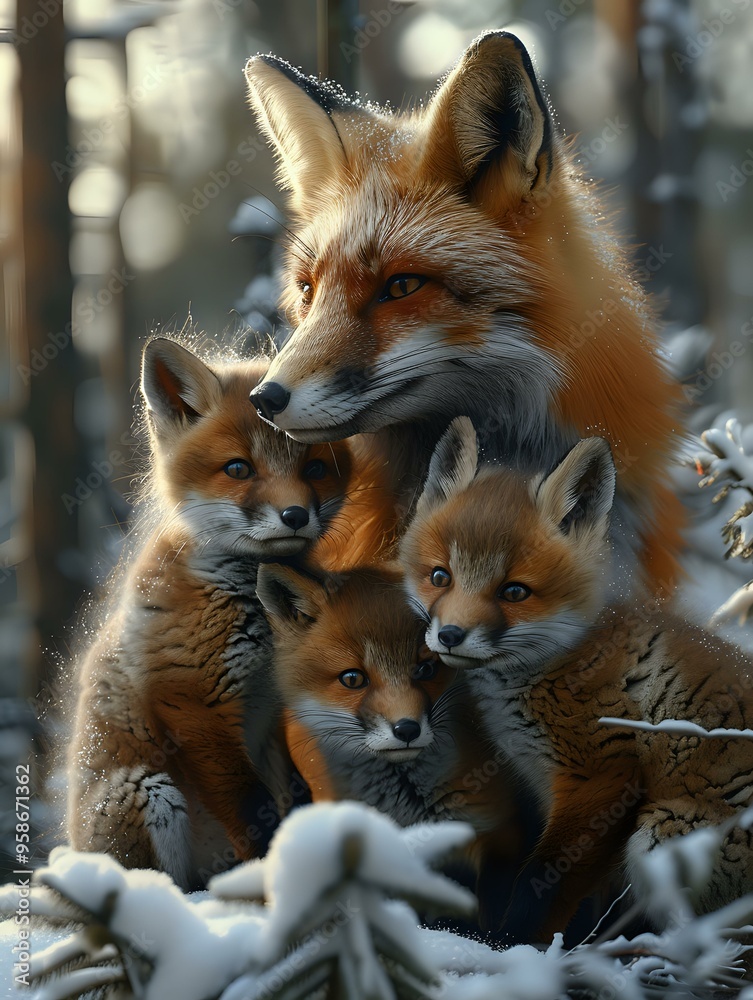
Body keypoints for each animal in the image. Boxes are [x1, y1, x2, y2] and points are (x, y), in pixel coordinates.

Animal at [66, 337, 351, 889]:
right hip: (148, 789)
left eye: (314, 468)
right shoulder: (192, 703)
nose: (295, 516)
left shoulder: (268, 712)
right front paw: (267, 873)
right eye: (238, 469)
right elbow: (252, 810)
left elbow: (294, 796)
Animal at [255, 562, 539, 925]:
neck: (408, 807)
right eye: (353, 679)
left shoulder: (501, 835)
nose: (407, 729)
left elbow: (494, 917)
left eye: (426, 669)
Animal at [400, 417, 753, 942]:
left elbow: (540, 886)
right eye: (440, 577)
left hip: (661, 834)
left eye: (514, 592)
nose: (449, 636)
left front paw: (513, 949)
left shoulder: (601, 778)